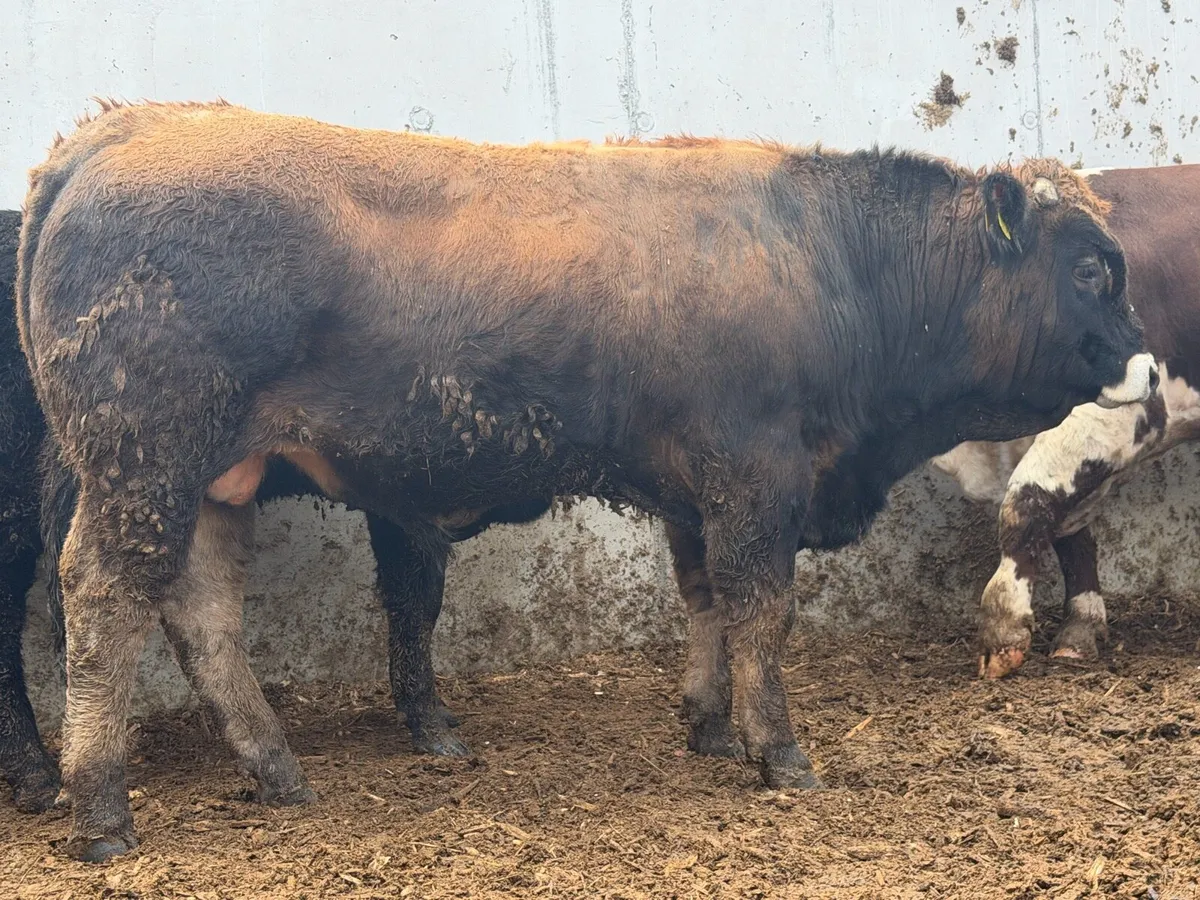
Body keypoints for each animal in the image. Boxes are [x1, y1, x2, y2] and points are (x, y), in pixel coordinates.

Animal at [18, 100, 1150, 861]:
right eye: (1093, 268)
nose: (1147, 368)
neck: (829, 265)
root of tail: (116, 133)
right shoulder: (756, 479)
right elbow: (761, 612)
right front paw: (779, 752)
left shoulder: (699, 494)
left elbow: (705, 604)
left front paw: (707, 725)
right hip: (142, 464)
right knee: (103, 604)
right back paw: (102, 809)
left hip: (214, 480)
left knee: (203, 616)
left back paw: (277, 771)